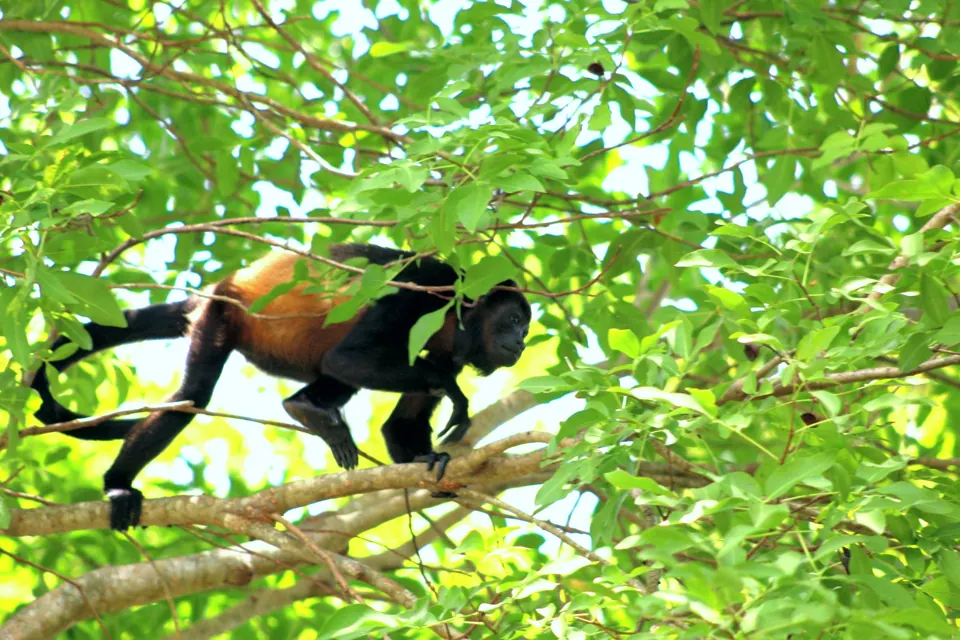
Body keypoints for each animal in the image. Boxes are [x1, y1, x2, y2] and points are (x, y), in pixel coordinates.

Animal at [31, 243, 532, 531]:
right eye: (512, 320)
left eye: (525, 325)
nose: (523, 342)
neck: (455, 320)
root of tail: (221, 288)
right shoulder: (419, 293)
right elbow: (350, 359)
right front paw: (455, 396)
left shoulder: (445, 348)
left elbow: (397, 422)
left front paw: (432, 464)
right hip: (221, 317)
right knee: (194, 395)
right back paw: (118, 486)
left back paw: (305, 408)